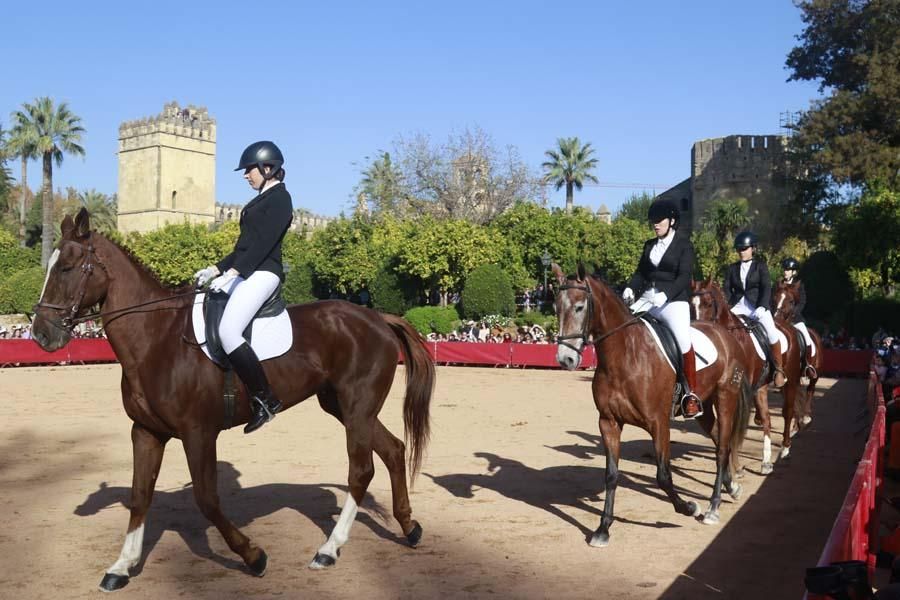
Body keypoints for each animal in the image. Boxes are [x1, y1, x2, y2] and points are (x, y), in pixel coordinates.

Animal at [29, 210, 434, 592]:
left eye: (66, 268)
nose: (42, 334)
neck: (156, 339)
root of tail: (377, 317)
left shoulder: (198, 433)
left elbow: (207, 499)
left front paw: (254, 556)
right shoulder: (145, 432)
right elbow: (140, 495)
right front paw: (121, 567)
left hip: (357, 406)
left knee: (361, 470)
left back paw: (329, 550)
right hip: (343, 407)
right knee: (394, 450)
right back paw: (409, 528)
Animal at [548, 264, 752, 548]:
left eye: (579, 307)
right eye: (556, 307)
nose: (565, 359)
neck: (624, 355)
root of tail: (726, 335)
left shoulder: (659, 423)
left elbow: (663, 475)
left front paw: (689, 508)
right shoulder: (608, 423)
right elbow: (611, 475)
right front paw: (603, 529)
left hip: (725, 398)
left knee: (722, 448)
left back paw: (713, 507)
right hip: (703, 408)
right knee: (716, 440)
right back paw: (731, 488)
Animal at [768, 280, 820, 426]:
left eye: (791, 301)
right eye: (774, 298)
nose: (776, 318)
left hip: (815, 372)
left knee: (811, 389)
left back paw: (807, 416)